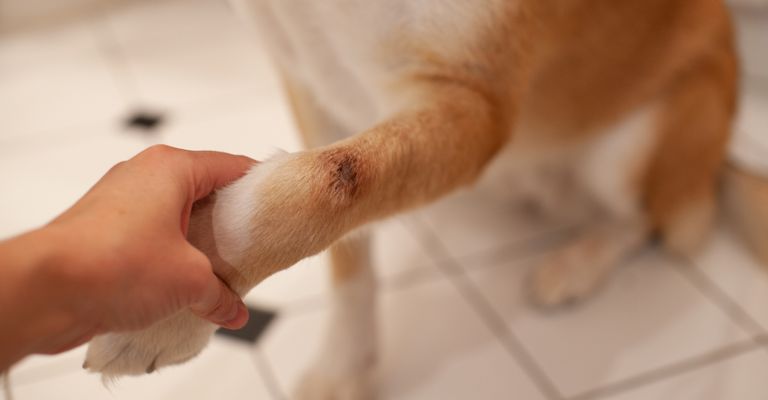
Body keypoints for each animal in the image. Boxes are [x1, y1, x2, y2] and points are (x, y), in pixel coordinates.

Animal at [81, 0, 764, 398]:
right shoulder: (307, 78)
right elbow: (347, 252)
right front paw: (346, 368)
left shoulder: (471, 103)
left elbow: (330, 182)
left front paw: (162, 300)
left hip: (633, 143)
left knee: (649, 220)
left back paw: (577, 263)